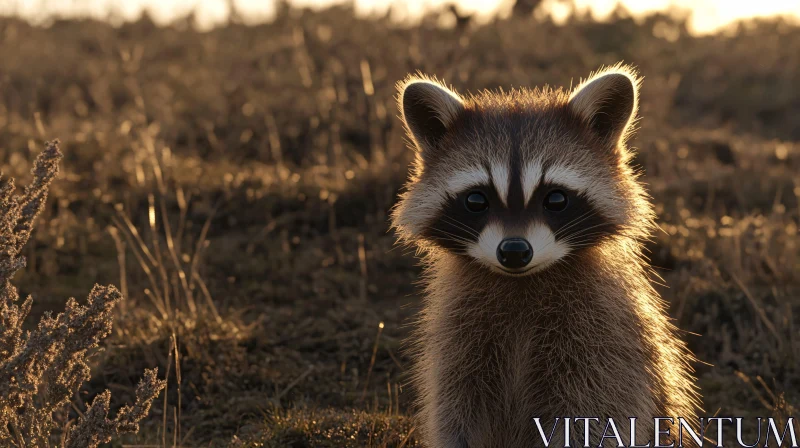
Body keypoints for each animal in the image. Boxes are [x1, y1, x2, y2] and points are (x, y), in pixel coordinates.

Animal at [392, 64, 700, 448]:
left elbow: (596, 413)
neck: (521, 282)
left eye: (555, 199)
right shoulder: (459, 336)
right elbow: (454, 407)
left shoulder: (604, 335)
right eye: (476, 200)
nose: (514, 251)